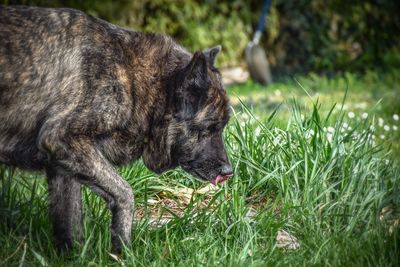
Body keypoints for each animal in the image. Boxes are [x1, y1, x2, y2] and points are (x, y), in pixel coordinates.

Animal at [0, 5, 233, 254]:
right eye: (209, 128)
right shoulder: (62, 140)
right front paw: (122, 250)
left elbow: (70, 220)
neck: (131, 76)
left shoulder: (62, 166)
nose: (229, 172)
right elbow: (125, 192)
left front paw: (75, 256)